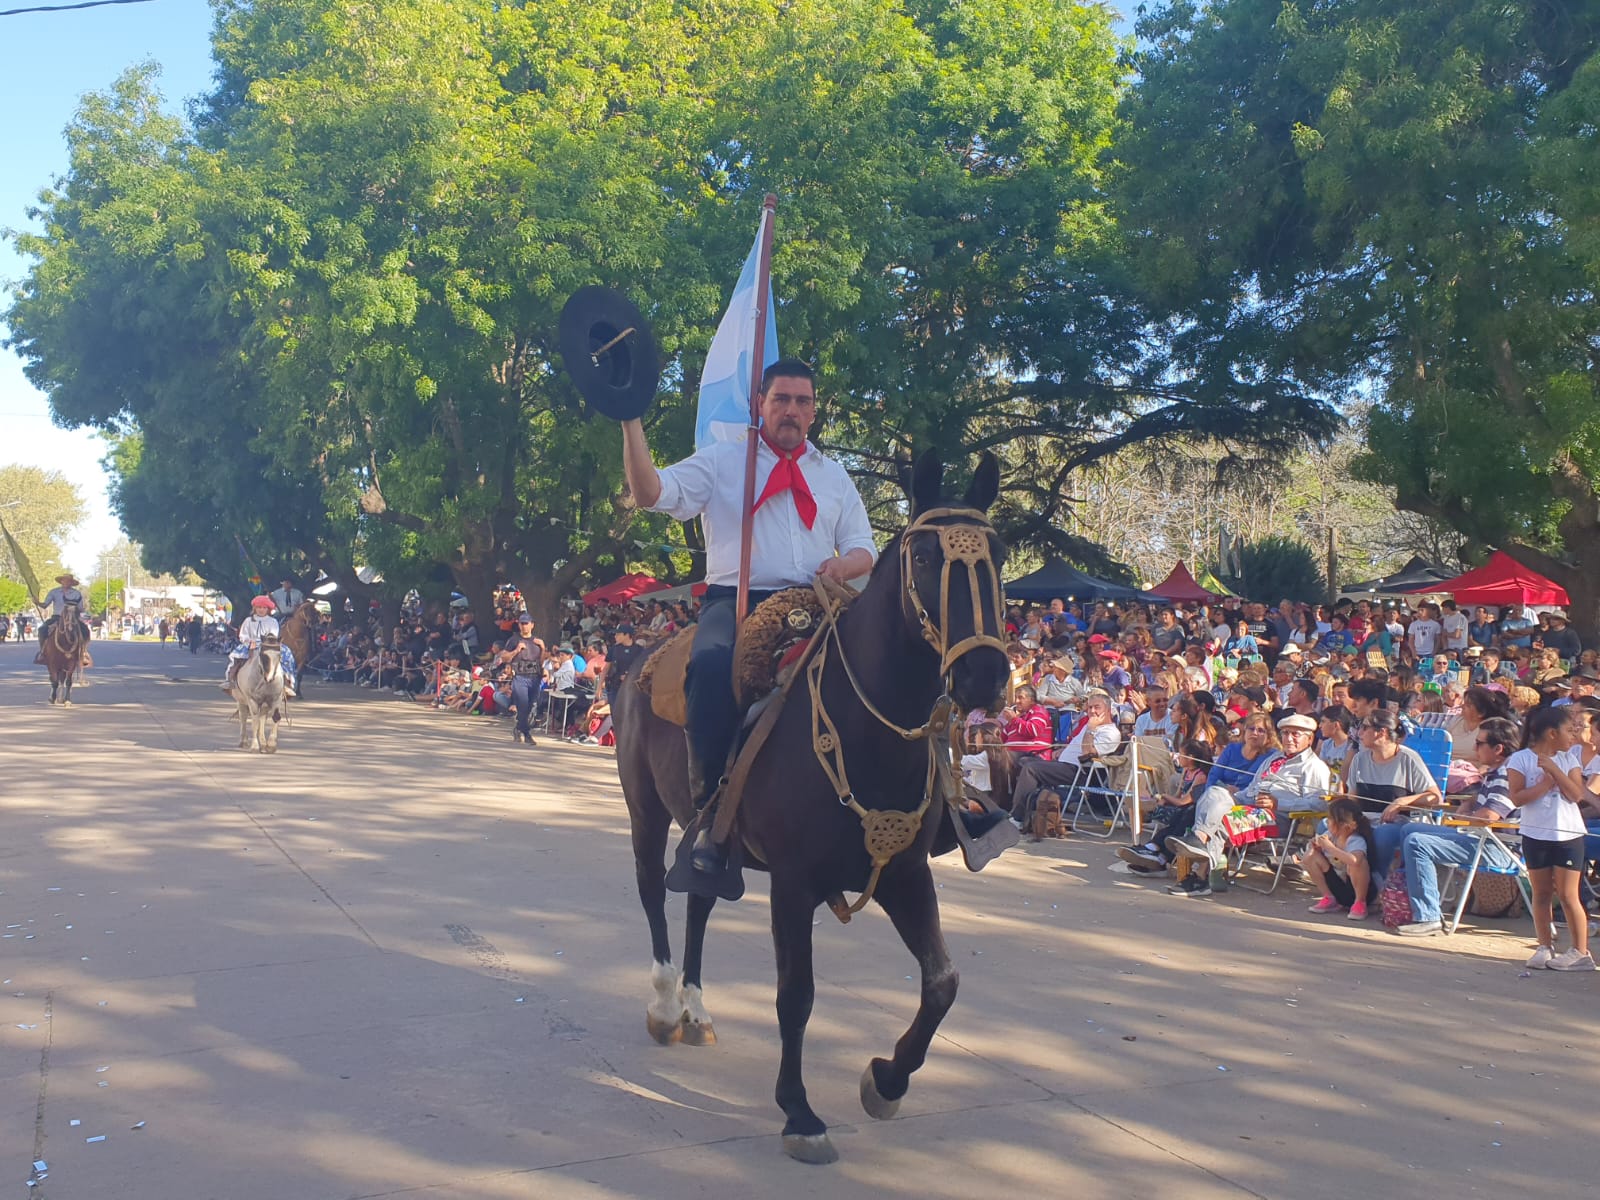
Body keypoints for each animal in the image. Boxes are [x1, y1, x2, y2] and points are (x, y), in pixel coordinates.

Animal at [604, 451, 1004, 1164]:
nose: (985, 674)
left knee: (699, 898)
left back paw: (697, 1011)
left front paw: (887, 1080)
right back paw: (665, 1005)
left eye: (1002, 554)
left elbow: (942, 982)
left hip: (717, 842)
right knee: (653, 891)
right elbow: (796, 995)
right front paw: (799, 1112)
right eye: (927, 556)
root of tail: (639, 659)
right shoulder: (793, 883)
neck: (869, 731)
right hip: (645, 812)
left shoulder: (905, 874)